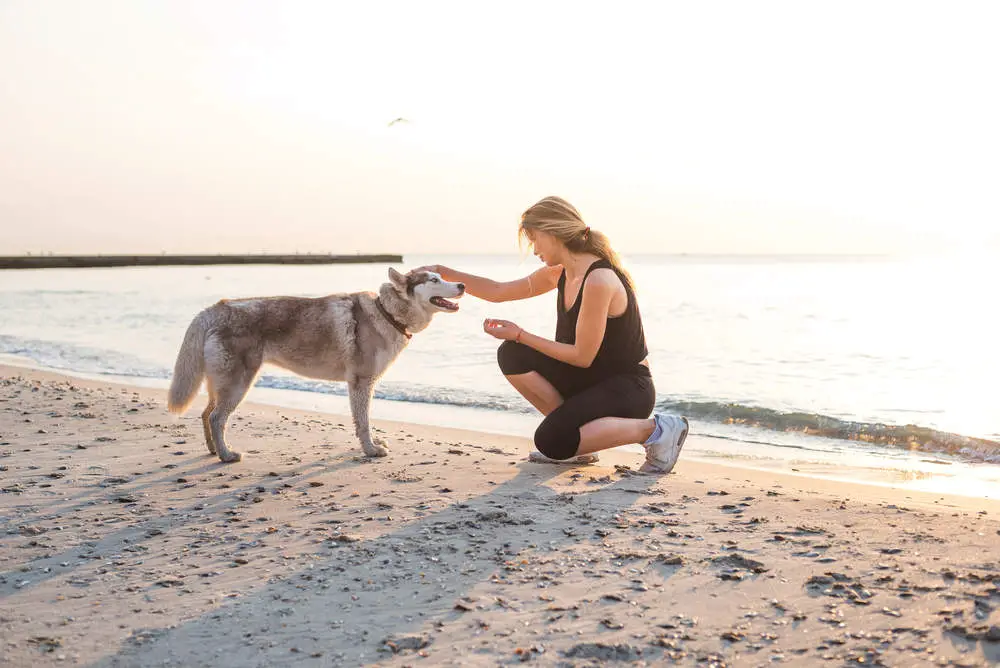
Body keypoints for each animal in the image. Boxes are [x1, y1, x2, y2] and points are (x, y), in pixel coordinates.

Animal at [167, 268, 464, 462]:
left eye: (442, 277)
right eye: (434, 279)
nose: (462, 285)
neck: (387, 313)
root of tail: (215, 309)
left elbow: (362, 422)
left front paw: (372, 444)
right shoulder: (361, 382)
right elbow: (364, 422)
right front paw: (370, 450)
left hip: (221, 383)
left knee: (206, 414)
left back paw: (214, 450)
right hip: (238, 384)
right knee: (217, 418)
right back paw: (226, 455)